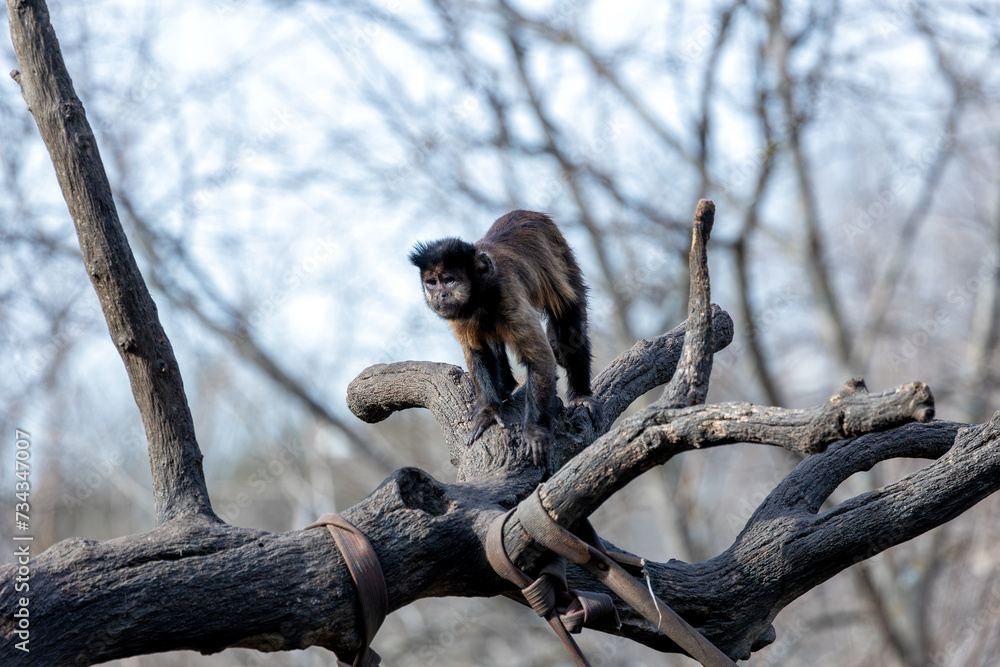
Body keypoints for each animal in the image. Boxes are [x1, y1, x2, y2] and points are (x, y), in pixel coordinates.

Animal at [408, 211, 600, 468]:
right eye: (431, 282)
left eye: (448, 280)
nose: (439, 294)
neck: (480, 297)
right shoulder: (460, 316)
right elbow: (478, 352)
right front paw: (488, 409)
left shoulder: (507, 295)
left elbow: (541, 358)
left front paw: (536, 432)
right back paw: (505, 388)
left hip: (565, 265)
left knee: (566, 334)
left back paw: (581, 395)